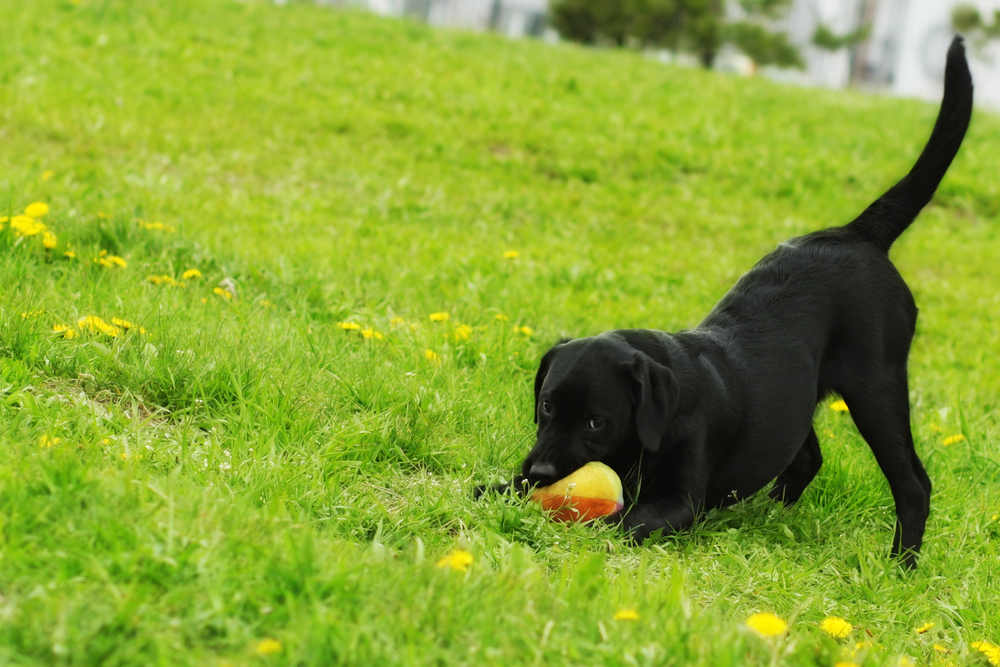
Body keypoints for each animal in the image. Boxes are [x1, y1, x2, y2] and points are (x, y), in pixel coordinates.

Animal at [500, 37, 968, 568]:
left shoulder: (680, 501)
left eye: (597, 422)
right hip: (800, 395)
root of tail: (858, 232)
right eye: (546, 405)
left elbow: (623, 519)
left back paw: (902, 563)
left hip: (877, 387)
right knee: (806, 456)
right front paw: (493, 491)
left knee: (913, 483)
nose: (540, 471)